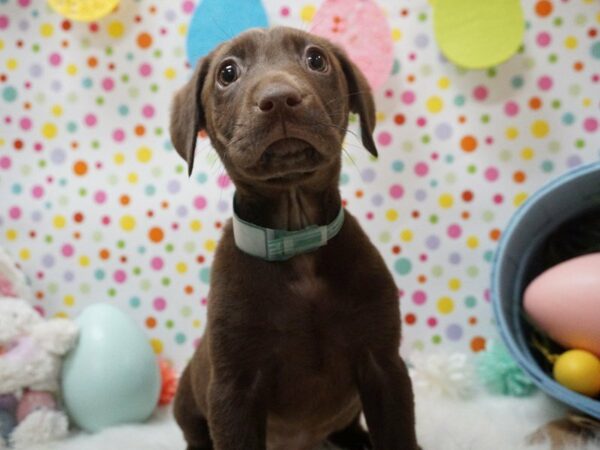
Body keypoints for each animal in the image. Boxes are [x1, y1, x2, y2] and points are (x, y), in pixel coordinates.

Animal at [169, 26, 418, 450]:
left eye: (316, 59)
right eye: (227, 72)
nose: (279, 99)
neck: (297, 239)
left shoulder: (385, 366)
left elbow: (398, 435)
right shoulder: (233, 389)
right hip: (188, 395)